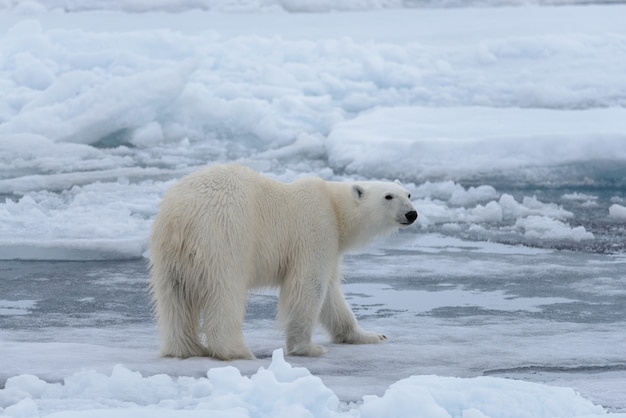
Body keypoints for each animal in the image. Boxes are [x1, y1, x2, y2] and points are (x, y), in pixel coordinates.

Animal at [149, 163, 416, 360]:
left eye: (409, 194)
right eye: (388, 196)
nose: (411, 213)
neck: (334, 207)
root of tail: (181, 217)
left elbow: (331, 295)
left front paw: (371, 335)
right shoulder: (315, 231)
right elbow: (308, 285)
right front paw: (308, 348)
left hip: (168, 255)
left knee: (174, 297)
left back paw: (185, 348)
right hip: (225, 235)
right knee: (224, 293)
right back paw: (236, 351)